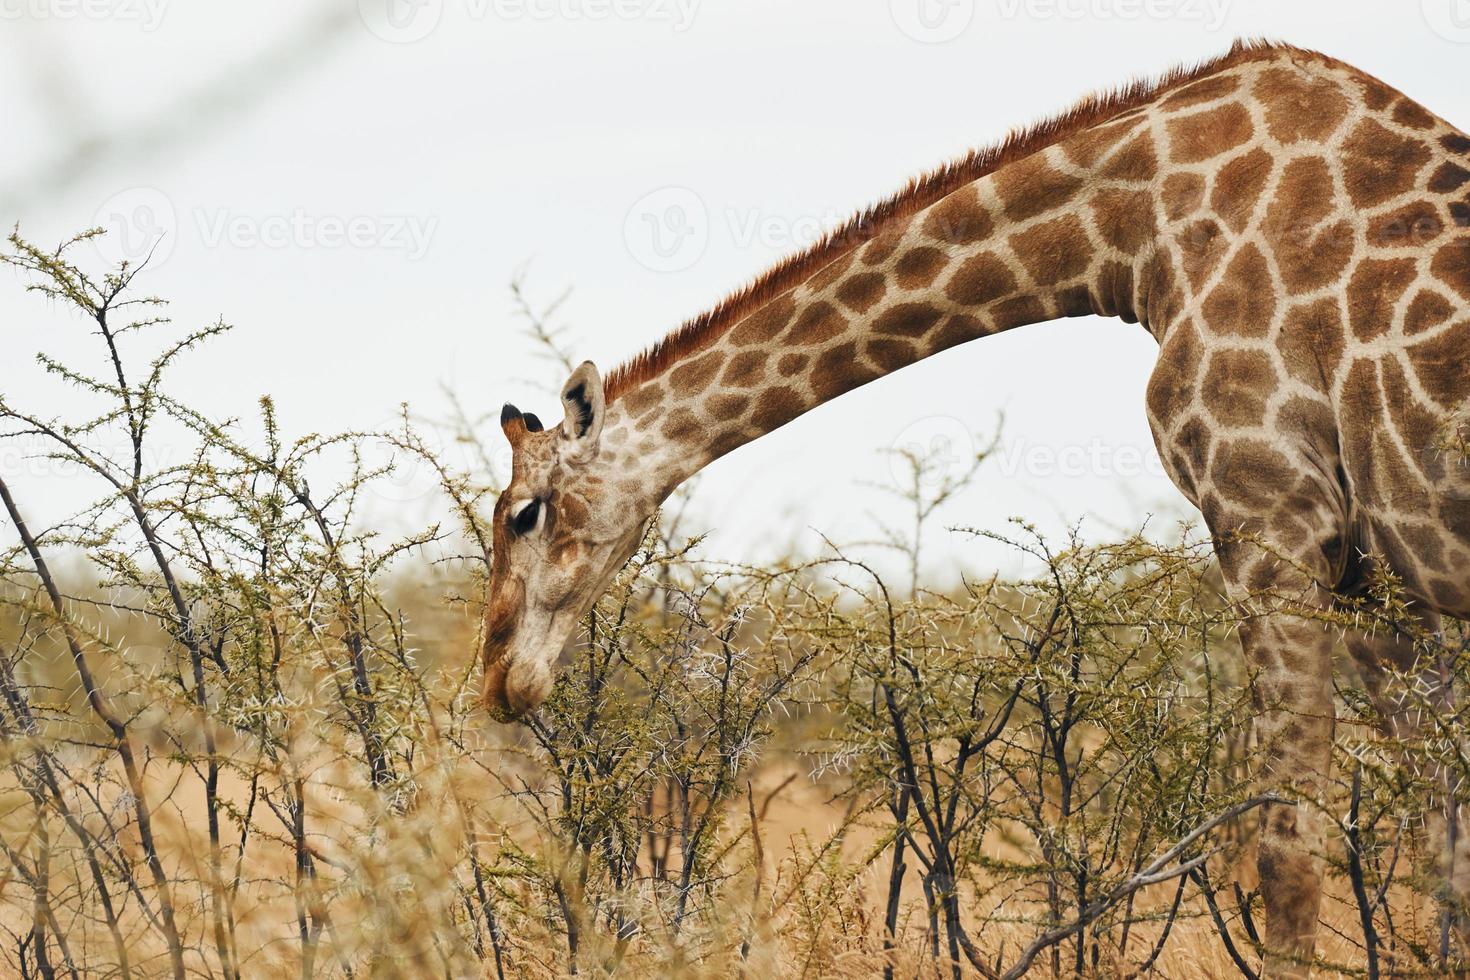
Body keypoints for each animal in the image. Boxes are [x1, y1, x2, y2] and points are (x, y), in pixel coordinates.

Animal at [482, 38, 1470, 975]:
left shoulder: (1272, 519)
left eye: (523, 513)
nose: (496, 682)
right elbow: (1441, 847)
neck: (1133, 236)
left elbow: (1290, 854)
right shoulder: (1380, 580)